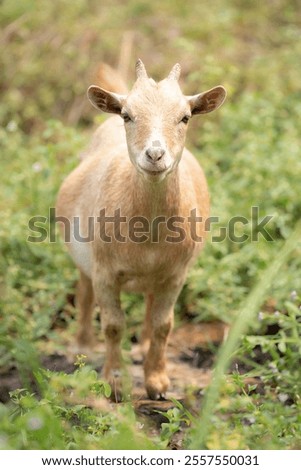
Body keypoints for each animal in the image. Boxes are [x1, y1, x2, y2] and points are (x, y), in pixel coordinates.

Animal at [56, 59, 225, 400]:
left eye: (185, 117)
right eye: (127, 115)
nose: (155, 154)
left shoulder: (176, 274)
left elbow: (164, 325)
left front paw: (157, 383)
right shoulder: (105, 271)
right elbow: (113, 324)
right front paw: (114, 382)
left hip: (155, 276)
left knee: (149, 304)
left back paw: (143, 346)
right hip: (85, 258)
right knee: (83, 293)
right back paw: (82, 346)